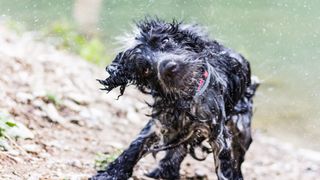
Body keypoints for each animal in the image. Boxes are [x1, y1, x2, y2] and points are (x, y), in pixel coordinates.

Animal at [92, 18, 260, 180]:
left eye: (165, 40)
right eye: (144, 69)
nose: (169, 67)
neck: (187, 99)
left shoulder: (218, 132)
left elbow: (225, 166)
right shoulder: (160, 121)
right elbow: (135, 147)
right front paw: (110, 173)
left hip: (241, 129)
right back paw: (165, 170)